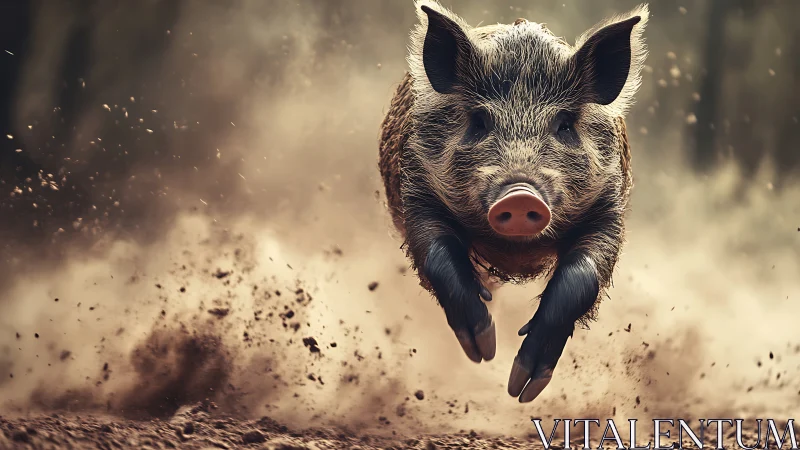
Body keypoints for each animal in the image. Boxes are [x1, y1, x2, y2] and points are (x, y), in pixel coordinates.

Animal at [378, 1, 647, 403]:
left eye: (564, 124)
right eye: (479, 121)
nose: (520, 194)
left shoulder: (608, 205)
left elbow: (582, 276)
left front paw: (522, 390)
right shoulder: (417, 187)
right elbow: (437, 253)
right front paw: (484, 349)